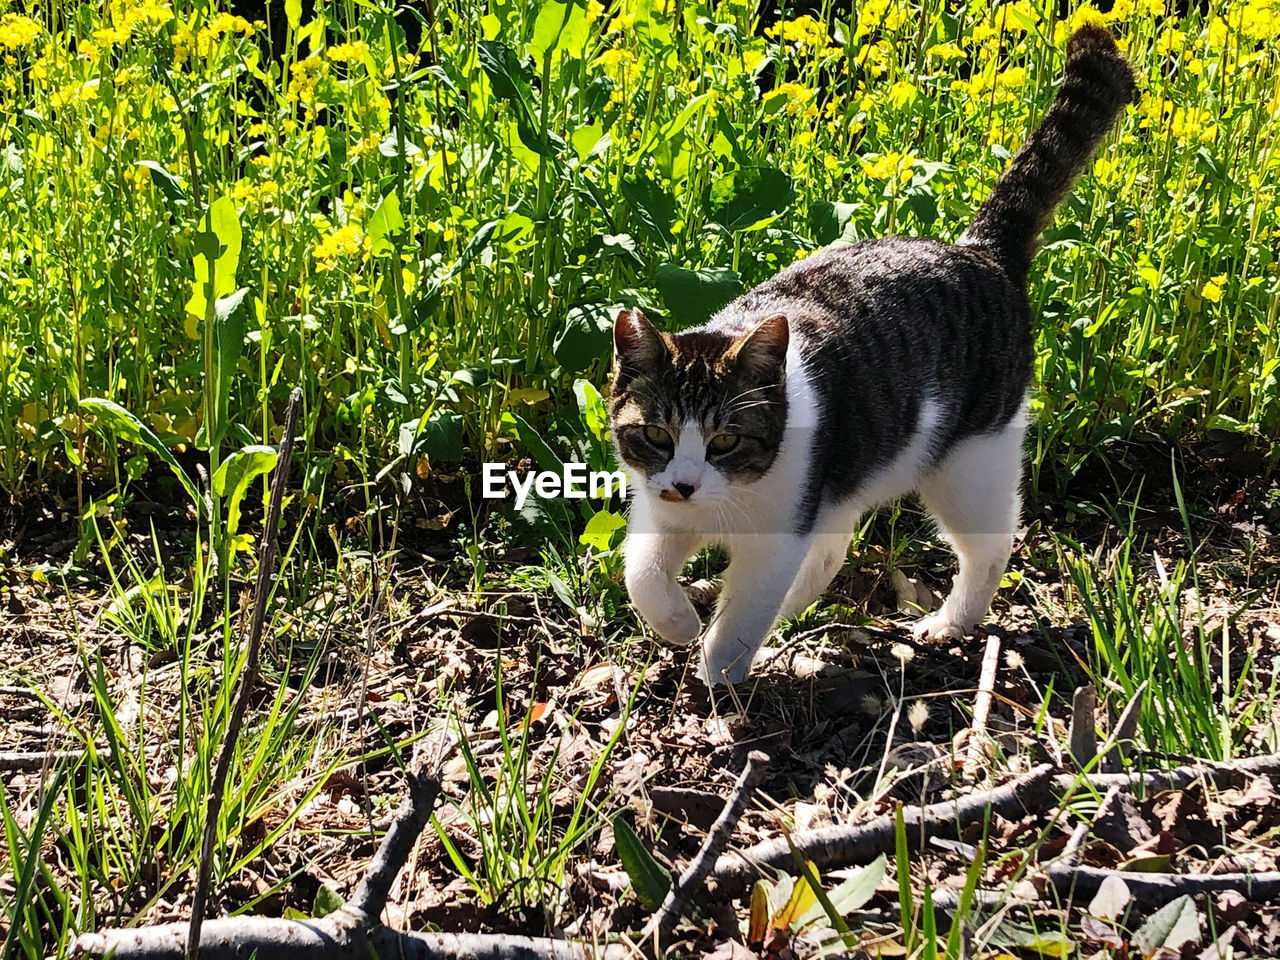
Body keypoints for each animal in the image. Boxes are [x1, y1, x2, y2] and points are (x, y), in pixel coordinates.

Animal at [611, 22, 1141, 686]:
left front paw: (718, 671)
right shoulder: (664, 513)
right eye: (656, 434)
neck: (723, 503)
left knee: (990, 547)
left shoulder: (778, 533)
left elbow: (744, 612)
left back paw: (952, 622)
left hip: (972, 463)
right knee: (831, 551)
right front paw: (680, 623)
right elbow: (642, 574)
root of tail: (981, 250)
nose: (684, 485)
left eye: (726, 440)